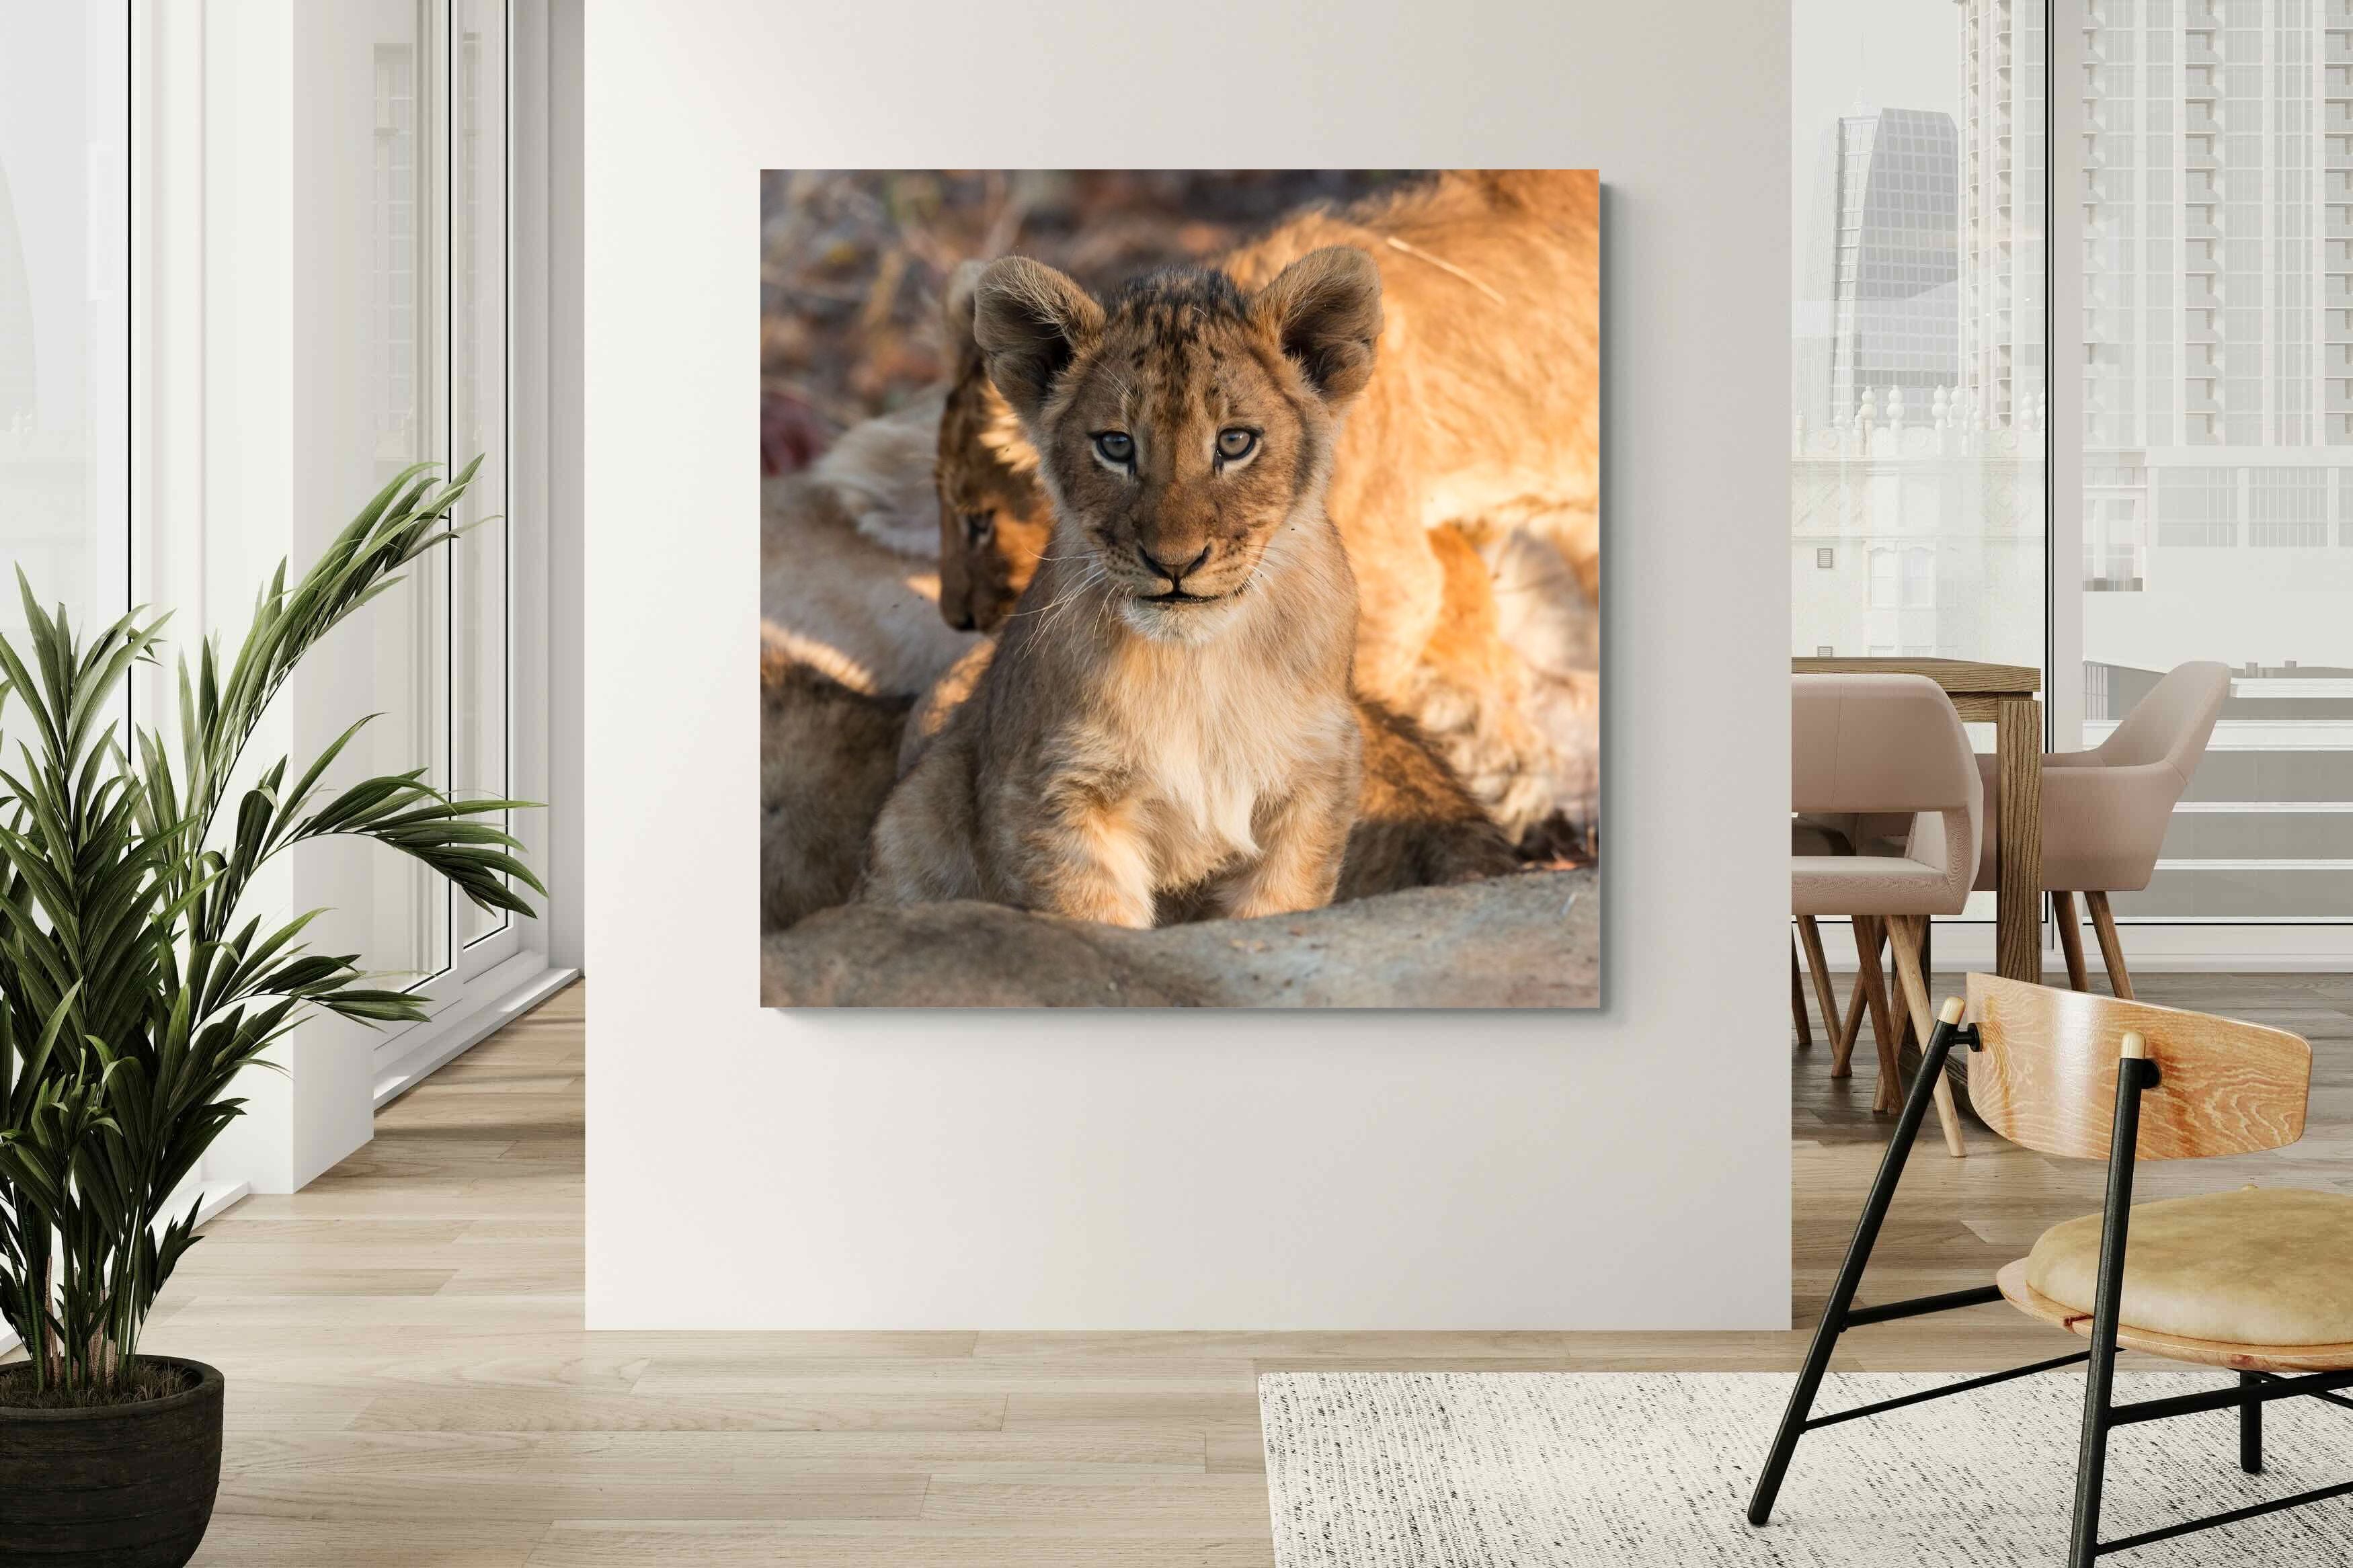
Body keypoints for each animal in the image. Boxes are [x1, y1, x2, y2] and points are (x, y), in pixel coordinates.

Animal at [863, 249, 1386, 926]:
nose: (1175, 562)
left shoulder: (1314, 779)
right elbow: (1094, 920)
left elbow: (1278, 908)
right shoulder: (1057, 790)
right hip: (921, 809)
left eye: (1235, 441)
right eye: (1116, 445)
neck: (1198, 667)